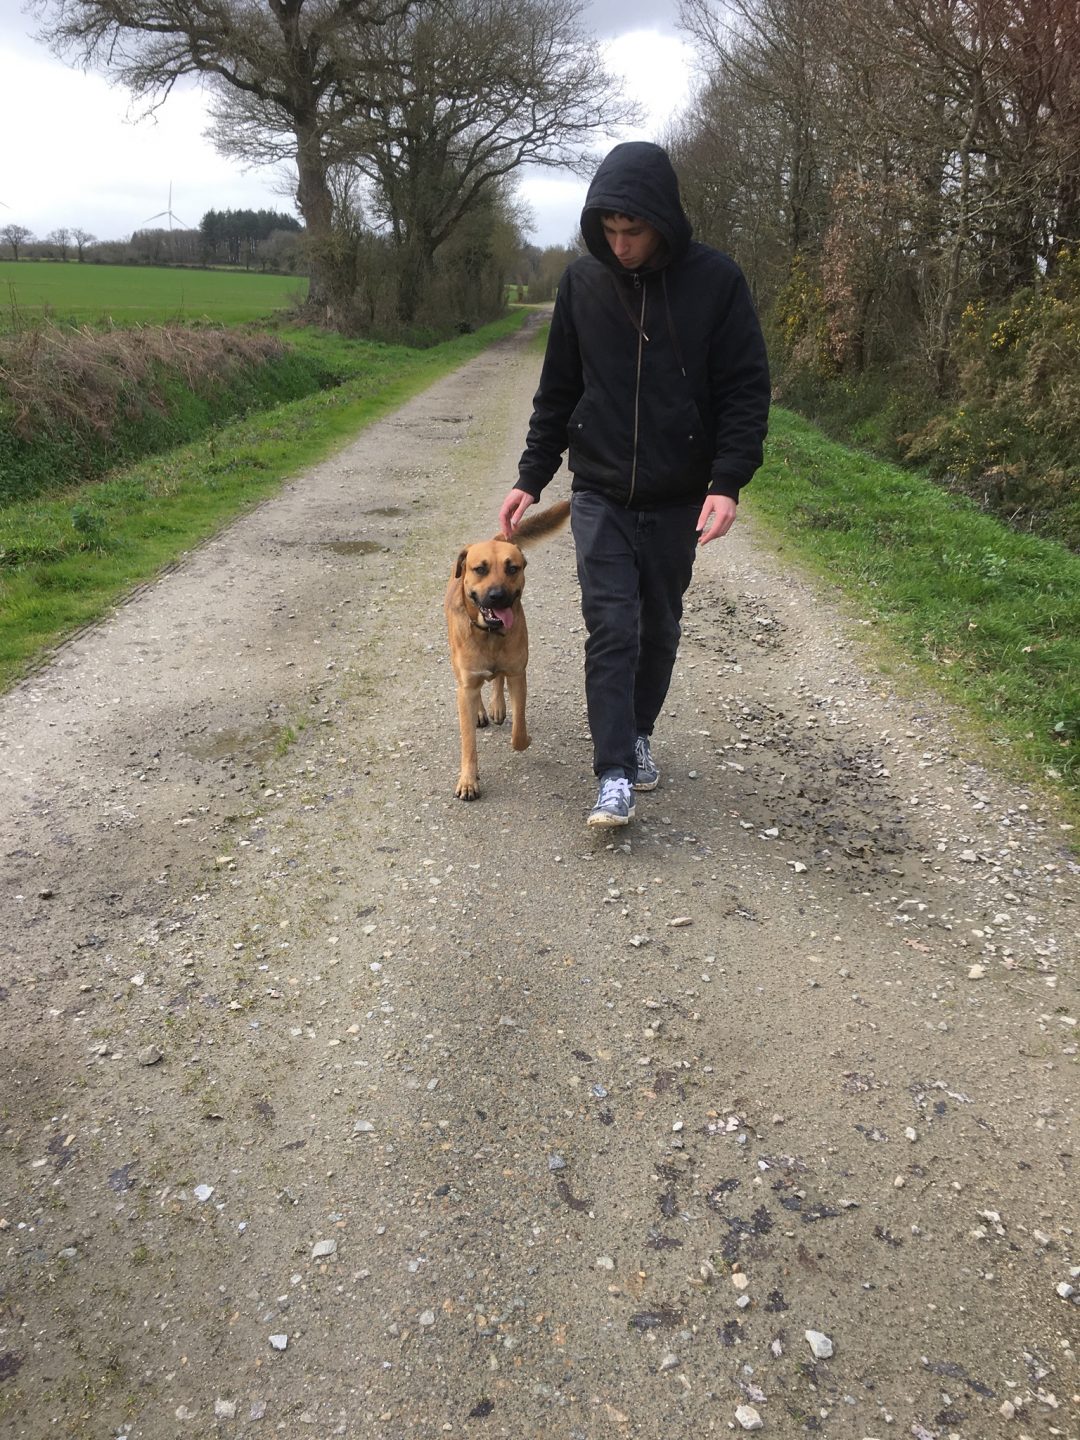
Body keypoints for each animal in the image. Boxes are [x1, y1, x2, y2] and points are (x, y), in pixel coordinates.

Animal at [443, 504, 570, 800]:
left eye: (512, 568)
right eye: (480, 569)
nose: (498, 596)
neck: (489, 634)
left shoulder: (517, 675)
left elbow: (518, 733)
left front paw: (523, 736)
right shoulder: (465, 685)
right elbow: (468, 742)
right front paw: (468, 781)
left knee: (496, 680)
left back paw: (497, 706)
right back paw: (481, 711)